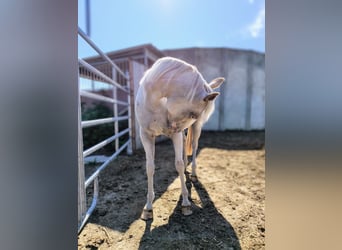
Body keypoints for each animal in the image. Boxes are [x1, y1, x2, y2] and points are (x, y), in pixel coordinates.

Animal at [136, 56, 224, 219]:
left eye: (194, 116)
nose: (171, 128)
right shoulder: (146, 135)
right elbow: (150, 167)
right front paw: (148, 207)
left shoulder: (175, 134)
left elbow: (179, 164)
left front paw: (186, 204)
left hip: (195, 129)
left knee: (194, 146)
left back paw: (193, 173)